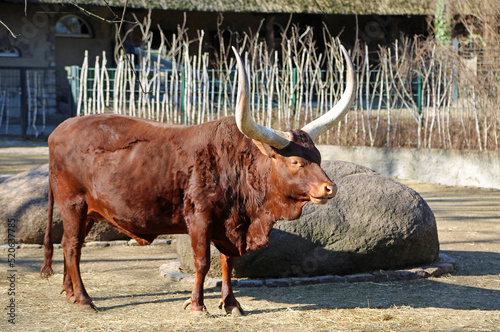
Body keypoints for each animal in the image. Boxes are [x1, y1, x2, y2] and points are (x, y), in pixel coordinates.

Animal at [42, 45, 356, 316]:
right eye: (295, 162)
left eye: (318, 156)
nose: (330, 188)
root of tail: (59, 130)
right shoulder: (199, 217)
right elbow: (202, 262)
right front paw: (196, 305)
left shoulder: (230, 224)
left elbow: (228, 262)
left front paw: (232, 304)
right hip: (72, 203)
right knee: (71, 245)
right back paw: (84, 299)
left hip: (88, 211)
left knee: (72, 245)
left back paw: (69, 293)